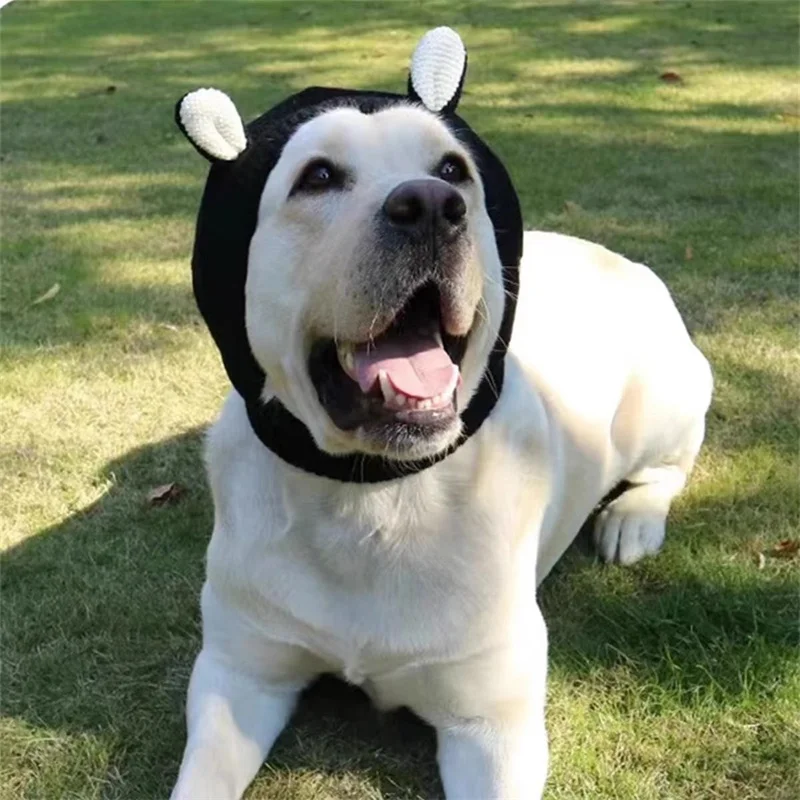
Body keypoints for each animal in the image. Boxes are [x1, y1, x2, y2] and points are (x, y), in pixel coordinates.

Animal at [170, 28, 712, 796]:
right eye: (318, 176)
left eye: (453, 168)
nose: (430, 205)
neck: (371, 490)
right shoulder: (238, 675)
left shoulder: (493, 727)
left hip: (663, 399)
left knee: (669, 467)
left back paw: (632, 520)